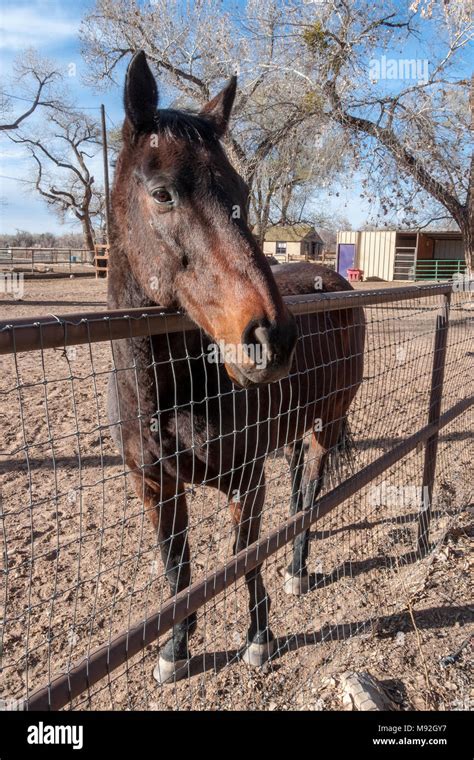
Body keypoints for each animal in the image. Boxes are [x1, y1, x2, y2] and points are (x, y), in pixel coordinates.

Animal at [108, 50, 366, 684]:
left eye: (241, 192)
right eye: (162, 193)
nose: (272, 337)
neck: (168, 394)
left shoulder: (247, 481)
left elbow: (242, 559)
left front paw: (259, 637)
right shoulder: (155, 489)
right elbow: (178, 570)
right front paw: (175, 648)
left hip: (327, 424)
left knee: (311, 490)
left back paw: (297, 566)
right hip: (295, 427)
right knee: (299, 492)